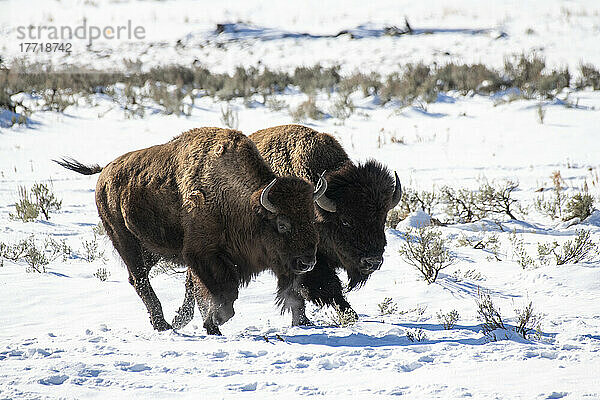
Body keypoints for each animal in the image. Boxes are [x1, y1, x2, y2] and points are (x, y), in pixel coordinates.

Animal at [55, 127, 328, 334]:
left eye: (313, 219)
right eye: (282, 224)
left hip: (152, 250)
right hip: (124, 239)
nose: (307, 262)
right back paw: (163, 325)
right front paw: (212, 323)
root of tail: (105, 171)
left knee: (139, 278)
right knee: (139, 279)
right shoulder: (203, 255)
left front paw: (205, 322)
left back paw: (169, 323)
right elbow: (222, 296)